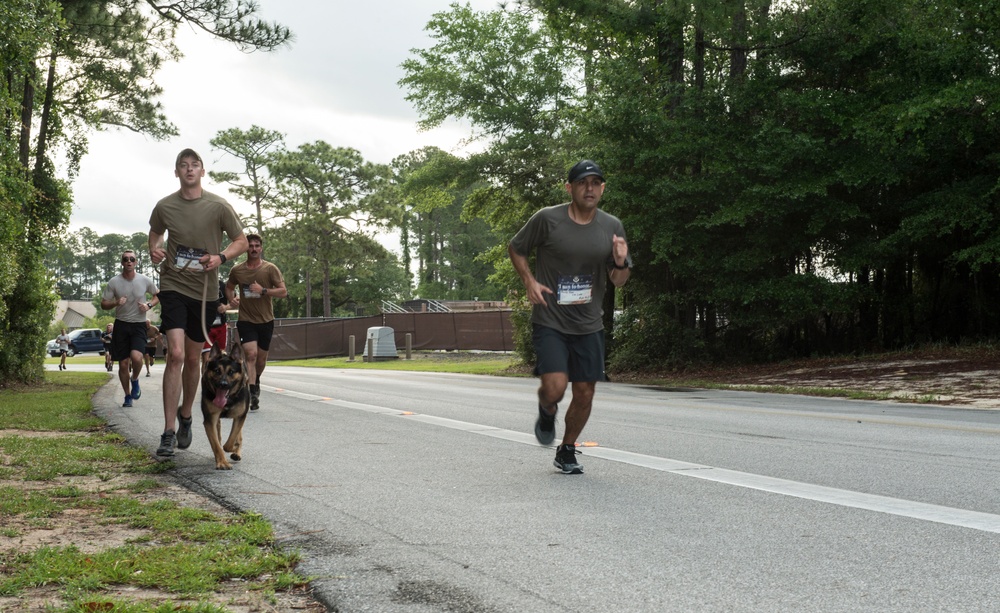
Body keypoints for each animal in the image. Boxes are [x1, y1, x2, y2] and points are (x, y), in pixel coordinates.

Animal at [200, 340, 250, 468]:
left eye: (231, 372)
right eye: (217, 370)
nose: (223, 384)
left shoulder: (240, 416)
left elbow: (231, 441)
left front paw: (234, 448)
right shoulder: (210, 419)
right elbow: (217, 444)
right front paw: (222, 462)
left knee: (238, 435)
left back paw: (237, 452)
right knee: (218, 435)